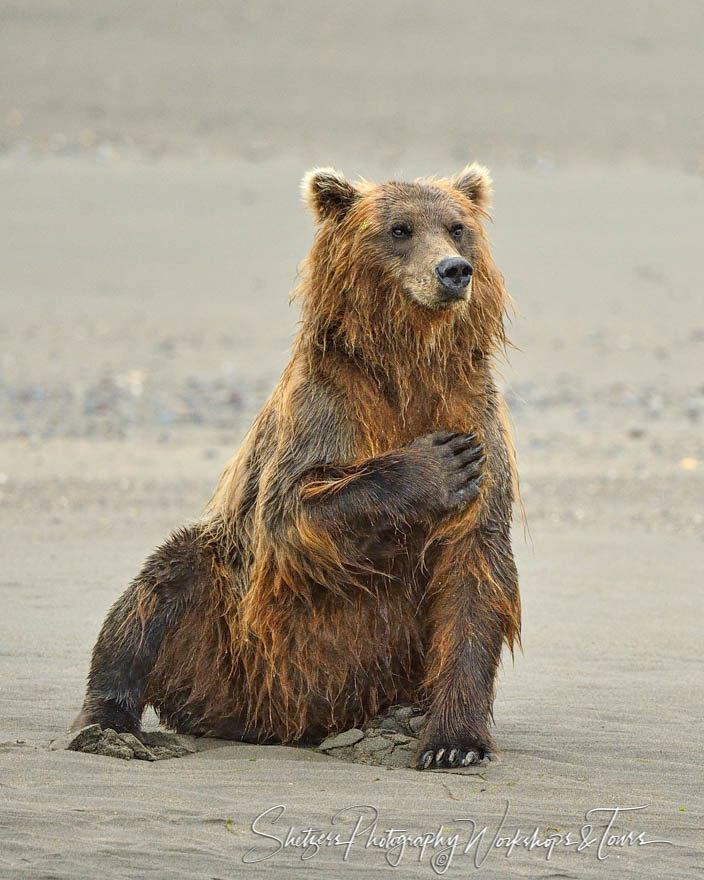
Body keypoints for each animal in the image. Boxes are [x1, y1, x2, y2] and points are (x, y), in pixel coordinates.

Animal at [74, 165, 520, 768]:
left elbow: (474, 570)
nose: (452, 269)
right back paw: (109, 726)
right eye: (400, 229)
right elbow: (290, 511)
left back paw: (397, 720)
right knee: (159, 588)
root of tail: (280, 723)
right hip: (226, 629)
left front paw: (453, 743)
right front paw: (437, 464)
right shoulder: (325, 409)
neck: (408, 366)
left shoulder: (474, 411)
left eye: (457, 227)